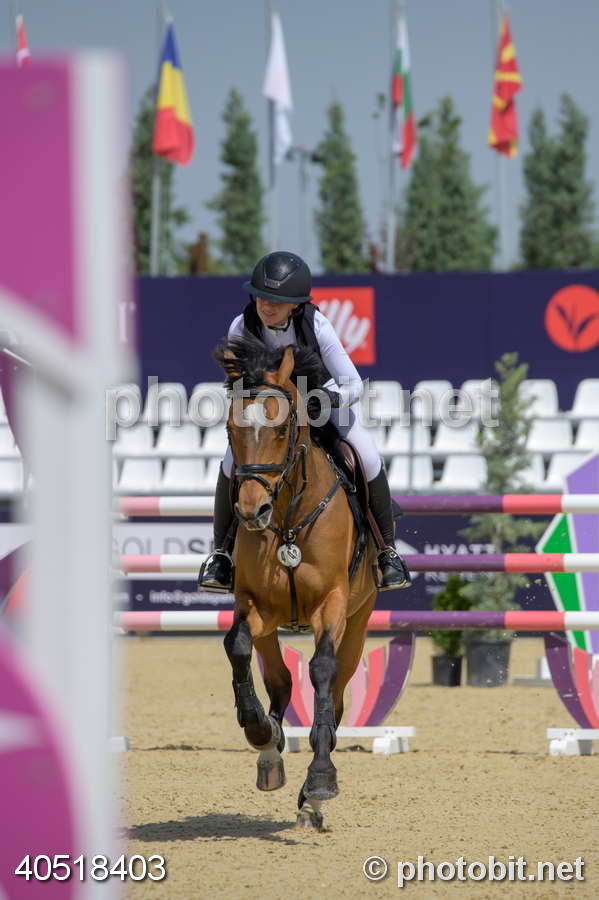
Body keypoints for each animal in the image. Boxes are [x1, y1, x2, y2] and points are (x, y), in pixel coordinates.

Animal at [216, 334, 379, 830]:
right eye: (230, 432)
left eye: (283, 431)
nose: (252, 512)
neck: (287, 520)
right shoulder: (254, 603)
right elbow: (237, 646)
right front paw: (258, 731)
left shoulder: (333, 603)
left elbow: (322, 672)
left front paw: (321, 781)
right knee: (280, 679)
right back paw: (270, 754)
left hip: (358, 621)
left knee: (337, 694)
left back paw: (311, 799)